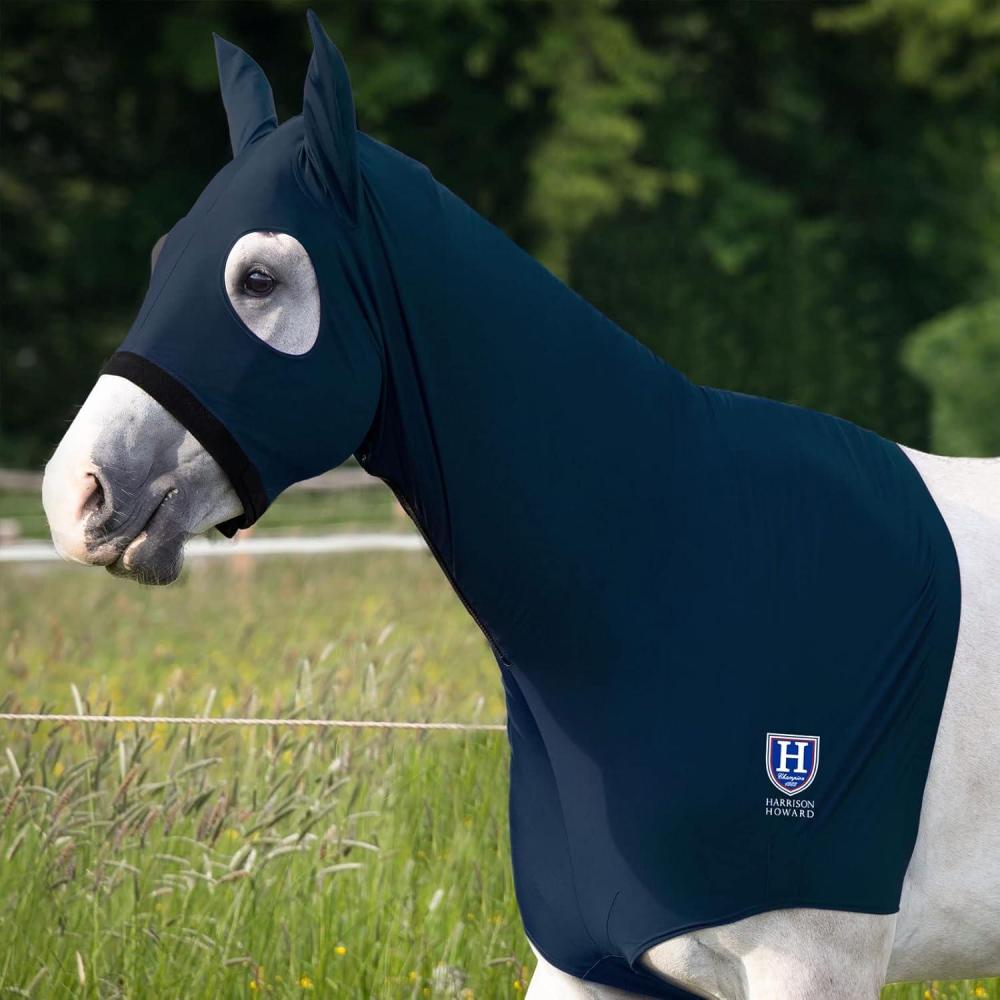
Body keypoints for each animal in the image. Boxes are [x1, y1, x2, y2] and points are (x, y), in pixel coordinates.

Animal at [41, 14, 999, 998]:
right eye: (162, 259)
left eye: (258, 279)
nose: (74, 493)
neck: (683, 575)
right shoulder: (587, 958)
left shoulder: (812, 964)